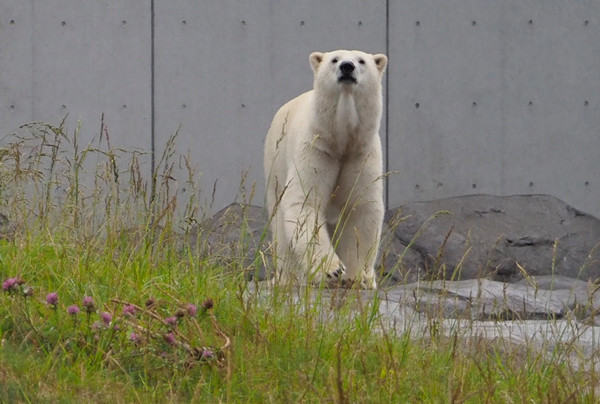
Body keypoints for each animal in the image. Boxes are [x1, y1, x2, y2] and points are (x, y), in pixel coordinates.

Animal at [264, 50, 386, 288]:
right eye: (335, 59)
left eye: (361, 61)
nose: (347, 67)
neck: (341, 139)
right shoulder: (316, 148)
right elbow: (305, 203)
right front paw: (332, 269)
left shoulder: (361, 154)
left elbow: (362, 208)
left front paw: (358, 277)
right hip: (275, 164)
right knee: (280, 226)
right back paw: (287, 278)